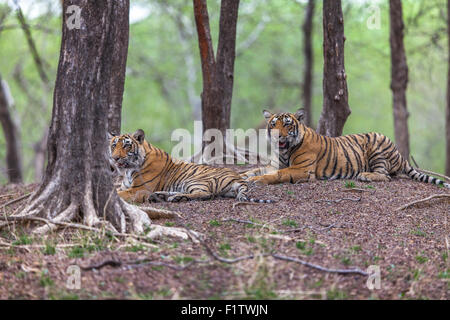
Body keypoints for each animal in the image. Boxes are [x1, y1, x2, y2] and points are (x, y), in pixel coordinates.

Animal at [108, 129, 274, 202]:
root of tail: (238, 177)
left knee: (205, 194)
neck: (128, 170)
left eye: (127, 145)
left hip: (194, 180)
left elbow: (118, 194)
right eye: (114, 145)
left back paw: (176, 198)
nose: (115, 158)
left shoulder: (139, 189)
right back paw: (161, 195)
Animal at [243, 108, 450, 190]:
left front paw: (258, 180)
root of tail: (400, 155)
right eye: (273, 124)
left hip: (376, 141)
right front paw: (246, 176)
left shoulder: (301, 169)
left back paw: (365, 175)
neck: (285, 150)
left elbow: (277, 175)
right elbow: (253, 170)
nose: (277, 135)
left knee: (386, 176)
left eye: (287, 124)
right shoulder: (273, 165)